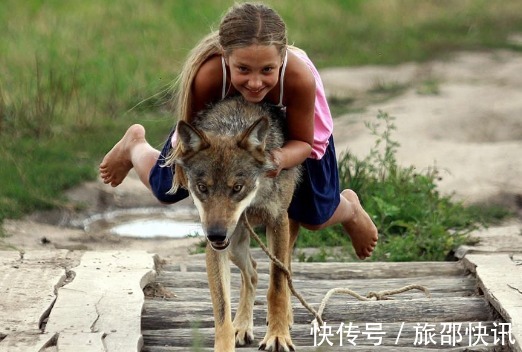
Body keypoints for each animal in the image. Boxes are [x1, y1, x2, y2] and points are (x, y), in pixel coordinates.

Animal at [174, 95, 298, 350]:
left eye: (237, 188)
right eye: (203, 188)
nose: (215, 234)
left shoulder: (277, 221)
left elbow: (277, 286)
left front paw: (277, 336)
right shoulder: (216, 246)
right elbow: (222, 310)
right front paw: (227, 341)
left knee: (285, 271)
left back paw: (286, 318)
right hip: (235, 245)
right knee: (252, 272)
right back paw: (242, 326)